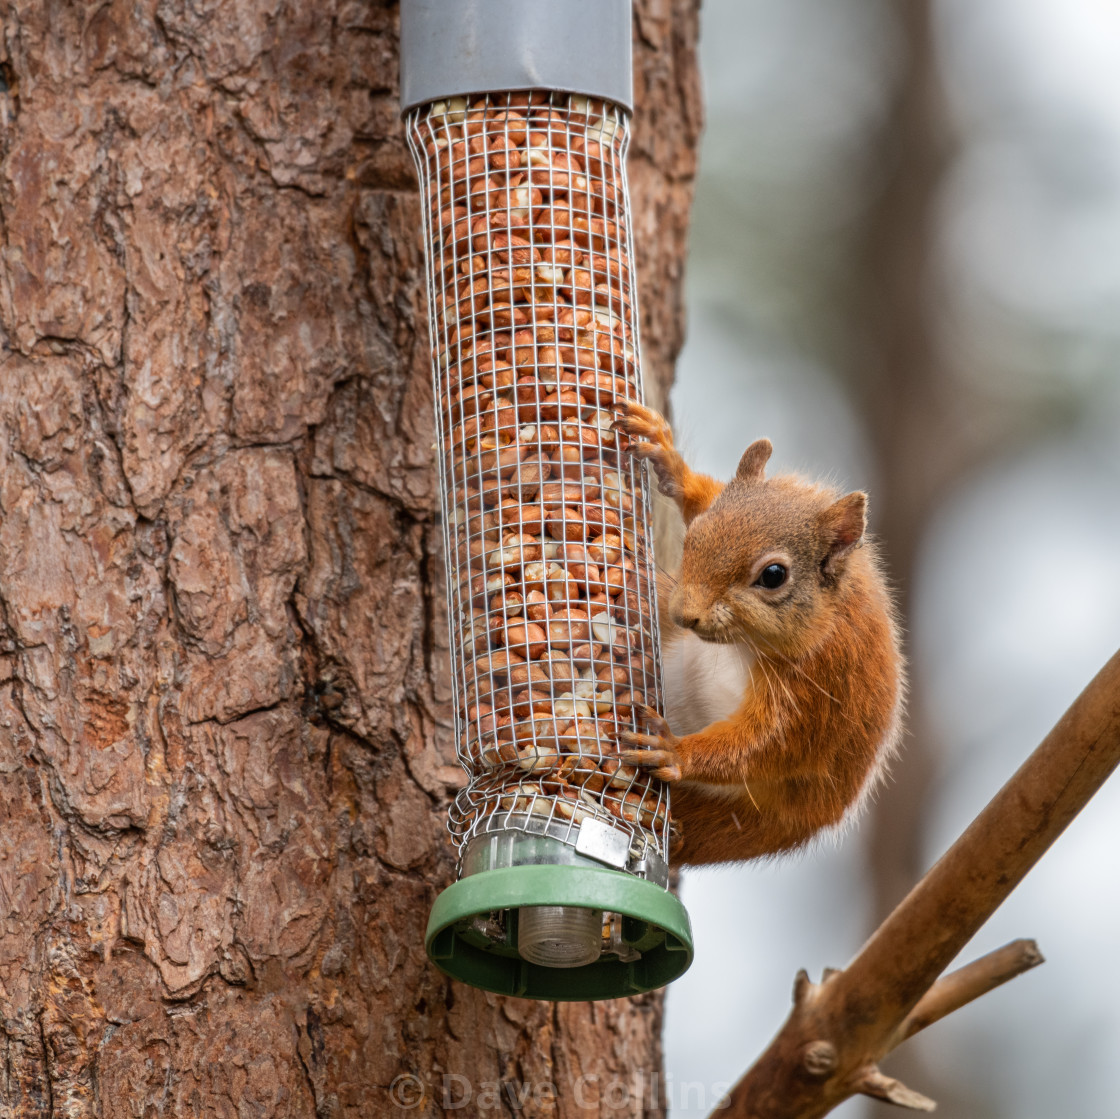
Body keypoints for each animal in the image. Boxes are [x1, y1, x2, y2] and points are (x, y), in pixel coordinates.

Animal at [609, 403, 904, 864]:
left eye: (773, 575)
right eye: (694, 537)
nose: (685, 616)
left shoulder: (819, 686)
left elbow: (766, 744)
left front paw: (675, 750)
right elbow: (701, 493)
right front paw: (666, 453)